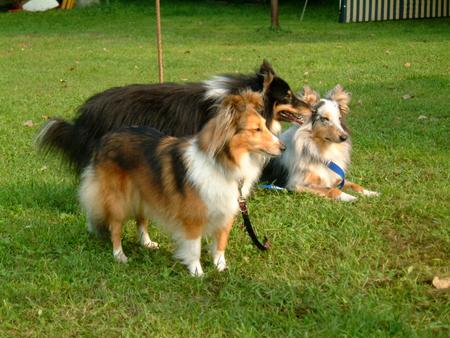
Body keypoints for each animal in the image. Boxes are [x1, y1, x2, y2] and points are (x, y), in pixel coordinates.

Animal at [80, 91, 284, 276]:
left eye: (265, 126)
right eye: (256, 129)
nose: (284, 147)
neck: (222, 163)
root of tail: (106, 138)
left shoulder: (226, 213)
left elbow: (221, 244)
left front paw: (221, 268)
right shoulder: (192, 217)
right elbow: (194, 248)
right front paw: (197, 272)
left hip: (144, 191)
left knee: (141, 219)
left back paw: (147, 243)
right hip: (119, 199)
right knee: (115, 226)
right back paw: (119, 255)